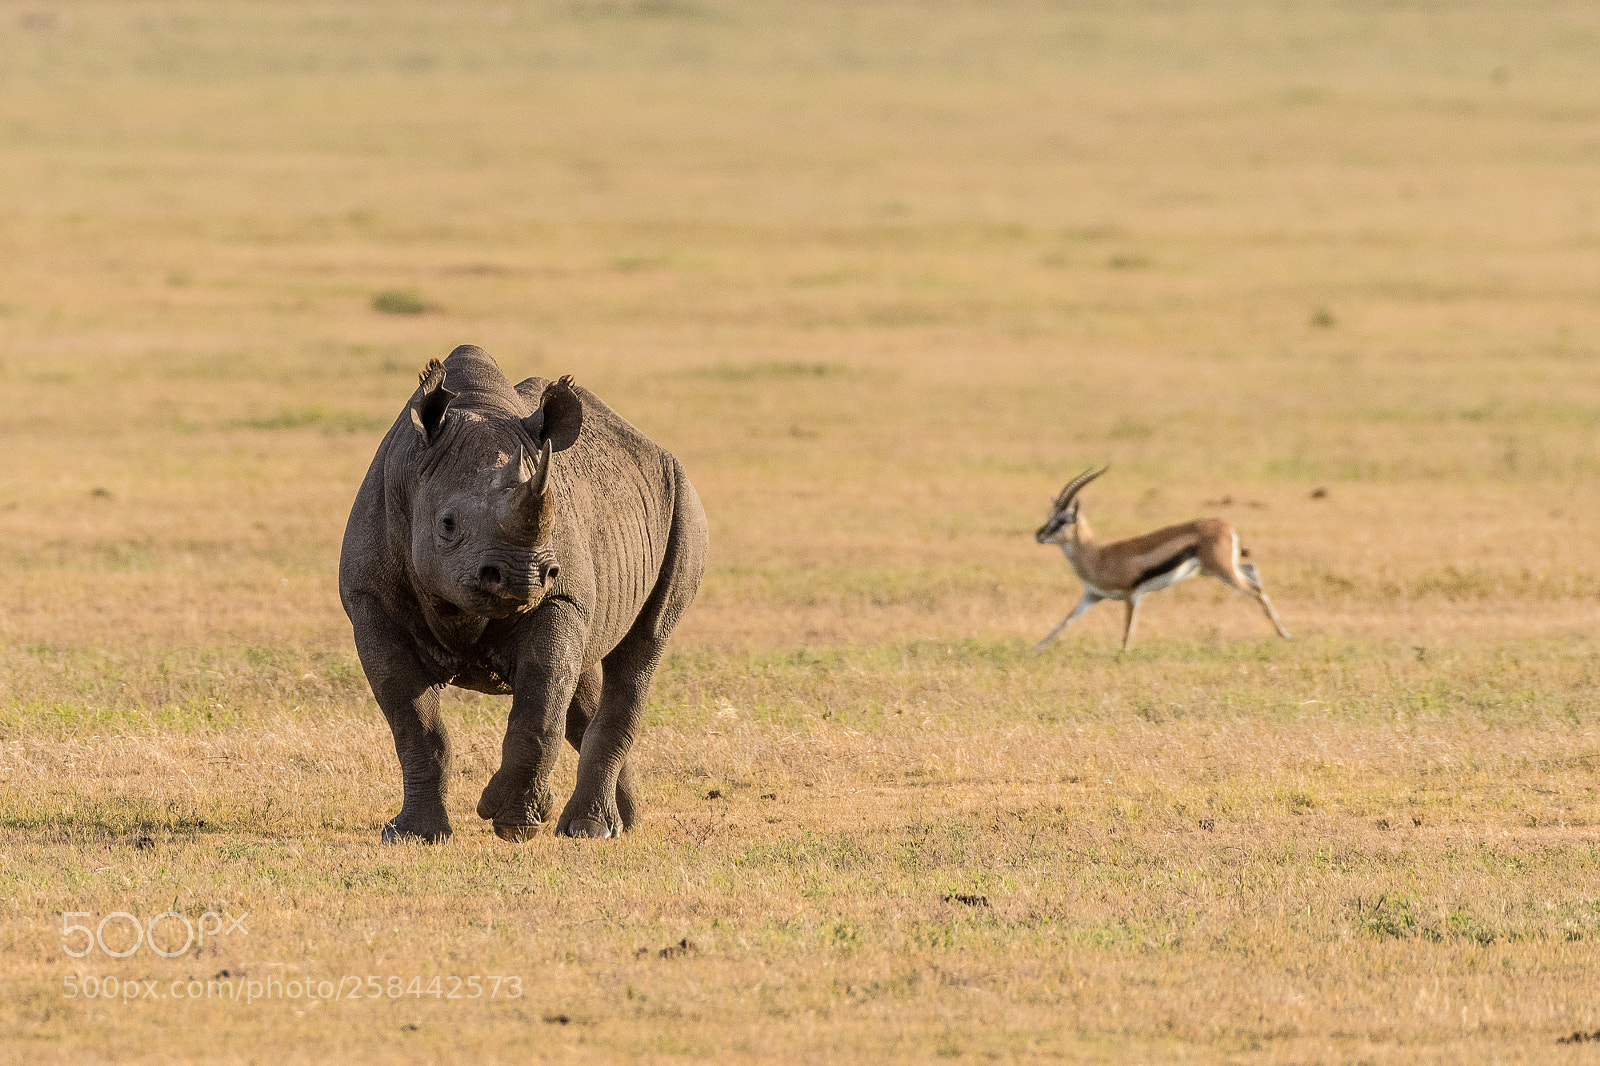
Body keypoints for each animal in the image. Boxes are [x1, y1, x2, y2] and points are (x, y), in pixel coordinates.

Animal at [339, 344, 707, 841]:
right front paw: (414, 835)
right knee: (586, 679)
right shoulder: (369, 600)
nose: (524, 576)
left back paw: (589, 828)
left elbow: (542, 701)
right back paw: (620, 824)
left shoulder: (561, 596)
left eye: (550, 523)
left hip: (685, 503)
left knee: (643, 647)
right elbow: (415, 723)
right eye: (447, 525)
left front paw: (515, 819)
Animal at [1034, 467, 1290, 652]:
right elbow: (1065, 620)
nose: (1039, 534)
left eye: (1063, 520)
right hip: (1215, 569)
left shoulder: (1131, 595)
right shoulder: (1092, 596)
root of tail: (1226, 525)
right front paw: (1038, 648)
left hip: (1222, 571)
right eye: (1050, 516)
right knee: (1252, 569)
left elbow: (1127, 628)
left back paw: (1284, 634)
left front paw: (1123, 653)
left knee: (1256, 589)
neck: (1099, 556)